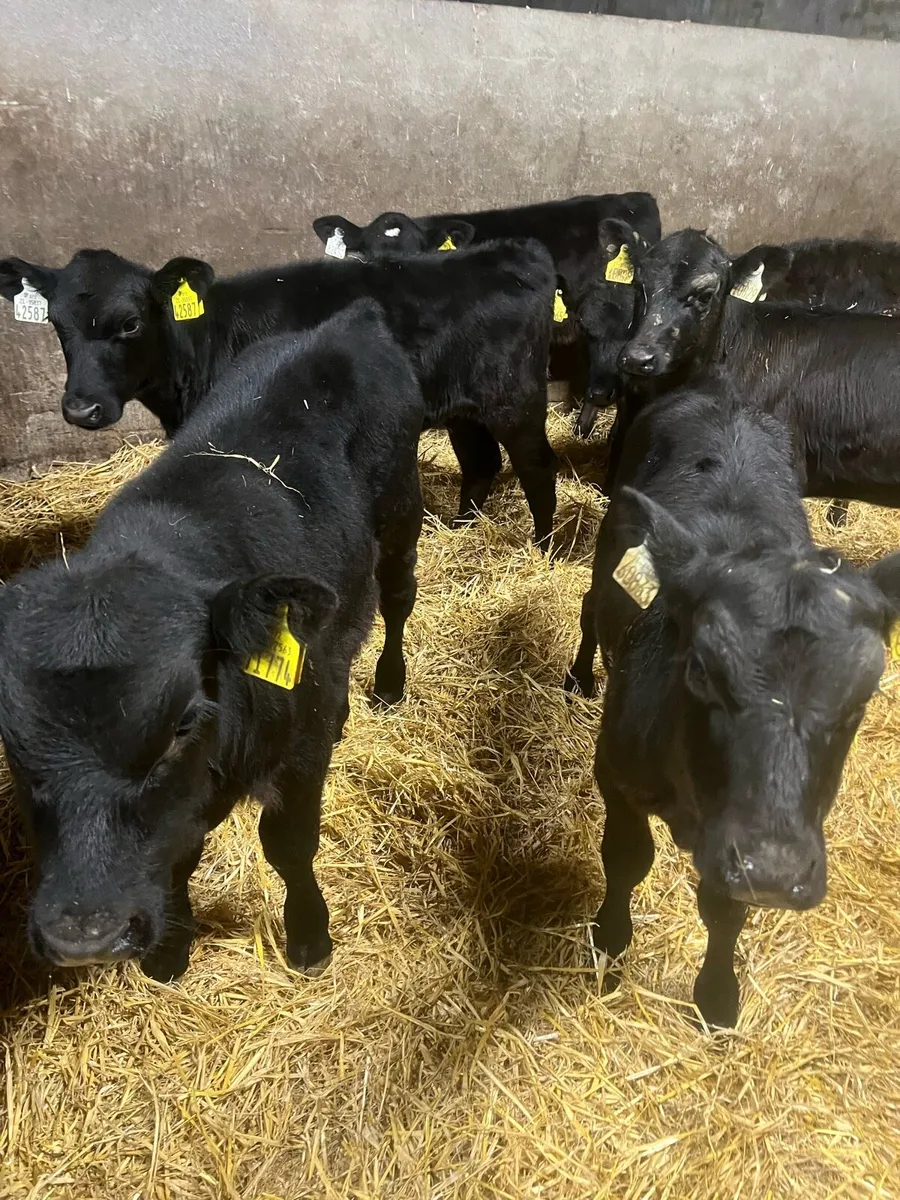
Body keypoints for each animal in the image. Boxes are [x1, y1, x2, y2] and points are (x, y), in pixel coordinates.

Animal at [0, 240, 557, 545]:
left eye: (131, 323)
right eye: (55, 323)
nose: (81, 409)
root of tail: (512, 252)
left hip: (516, 398)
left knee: (536, 465)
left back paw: (546, 547)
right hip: (465, 407)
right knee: (481, 463)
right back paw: (461, 531)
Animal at [0, 301, 424, 982]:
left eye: (180, 725)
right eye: (10, 740)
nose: (85, 937)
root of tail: (346, 320)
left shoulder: (299, 745)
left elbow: (288, 845)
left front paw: (310, 937)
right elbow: (176, 852)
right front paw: (171, 948)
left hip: (402, 512)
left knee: (397, 597)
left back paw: (388, 684)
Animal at [565, 379, 900, 1027]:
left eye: (864, 691)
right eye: (700, 668)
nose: (772, 871)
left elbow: (724, 909)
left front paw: (718, 993)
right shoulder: (616, 772)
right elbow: (627, 858)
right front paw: (609, 943)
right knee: (593, 605)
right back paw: (578, 673)